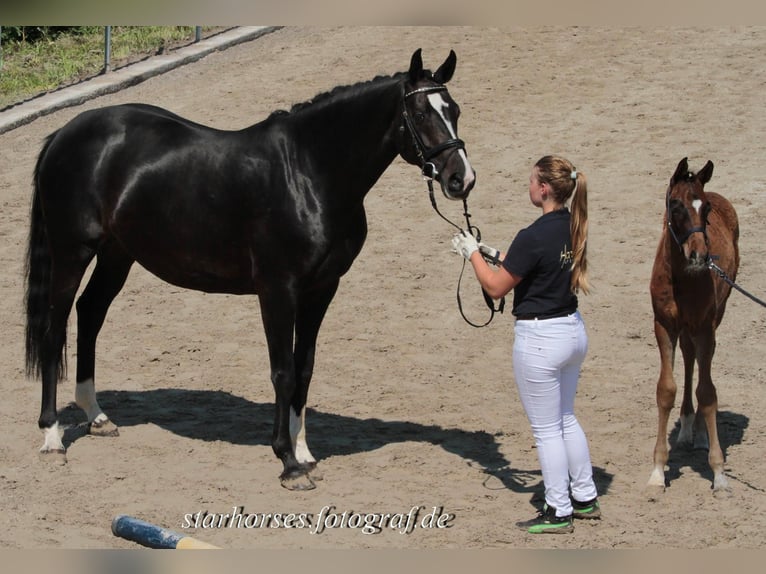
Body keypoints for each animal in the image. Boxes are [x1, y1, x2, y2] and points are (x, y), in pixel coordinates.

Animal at [24, 49, 475, 491]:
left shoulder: (321, 289)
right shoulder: (278, 290)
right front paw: (288, 463)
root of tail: (63, 135)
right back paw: (51, 436)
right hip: (73, 253)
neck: (308, 172)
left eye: (454, 110)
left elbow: (304, 368)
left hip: (118, 254)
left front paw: (304, 453)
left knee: (90, 314)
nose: (462, 180)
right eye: (421, 114)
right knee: (54, 328)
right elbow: (283, 372)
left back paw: (96, 416)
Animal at [647, 157, 739, 494]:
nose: (700, 254)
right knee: (688, 358)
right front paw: (657, 471)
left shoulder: (703, 326)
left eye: (706, 208)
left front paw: (719, 472)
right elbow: (666, 389)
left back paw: (698, 433)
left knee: (701, 362)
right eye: (675, 205)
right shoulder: (663, 325)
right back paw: (687, 428)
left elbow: (708, 392)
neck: (682, 278)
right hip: (685, 328)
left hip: (714, 318)